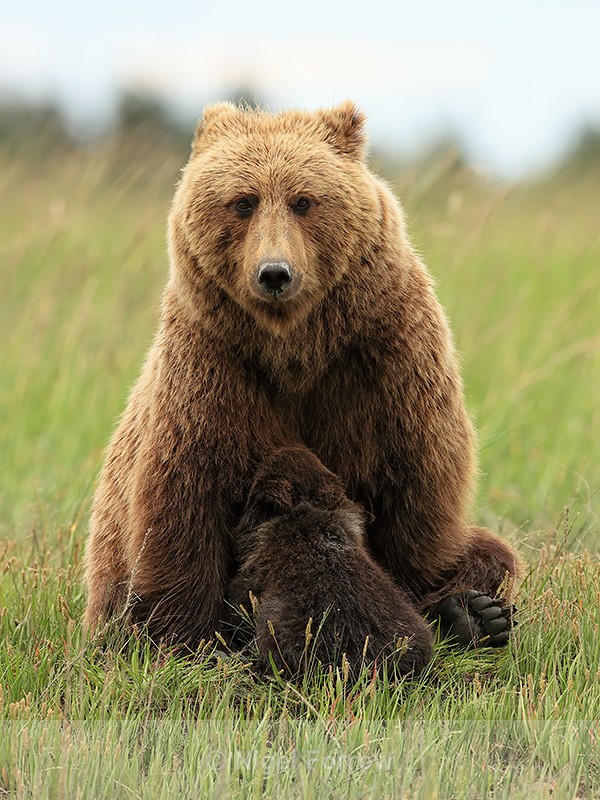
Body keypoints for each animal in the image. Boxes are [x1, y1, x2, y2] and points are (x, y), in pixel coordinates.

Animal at [83, 100, 520, 651]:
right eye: (243, 202)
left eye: (304, 200)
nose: (274, 273)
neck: (295, 347)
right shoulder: (214, 371)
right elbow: (185, 503)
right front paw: (179, 636)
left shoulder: (386, 364)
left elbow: (414, 500)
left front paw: (451, 606)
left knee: (491, 551)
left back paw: (474, 612)